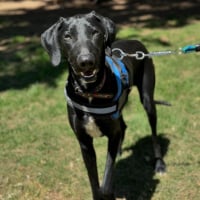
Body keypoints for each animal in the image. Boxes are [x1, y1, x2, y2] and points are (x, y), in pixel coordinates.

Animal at [41, 11, 166, 200]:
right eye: (67, 36)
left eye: (95, 33)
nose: (86, 61)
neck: (90, 92)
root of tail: (136, 41)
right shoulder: (84, 142)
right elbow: (94, 182)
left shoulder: (112, 136)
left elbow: (106, 182)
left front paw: (109, 192)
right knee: (123, 126)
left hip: (148, 100)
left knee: (153, 134)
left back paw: (159, 164)